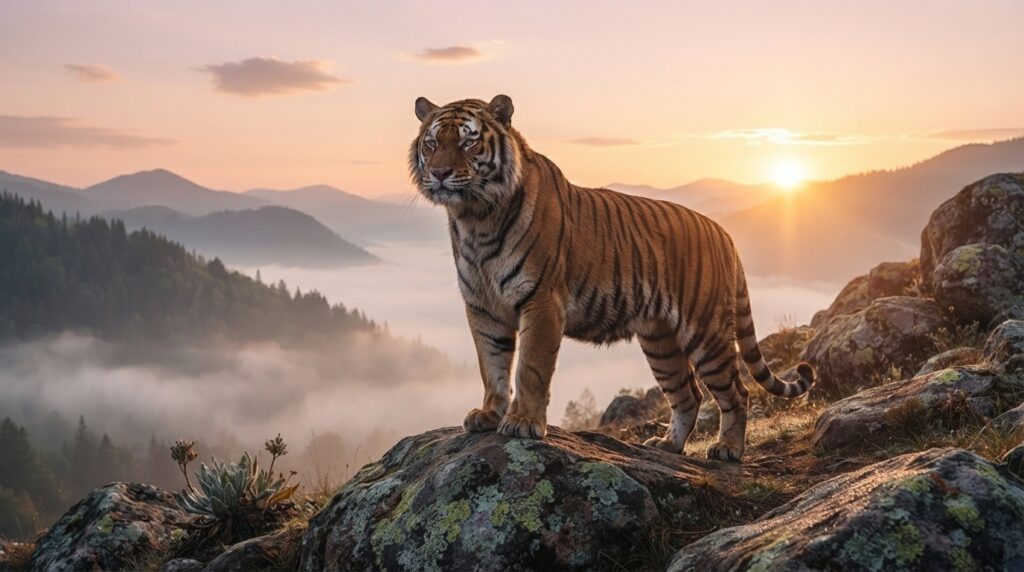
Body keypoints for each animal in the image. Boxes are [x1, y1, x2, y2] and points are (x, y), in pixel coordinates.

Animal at [409, 94, 815, 461]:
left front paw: (523, 422)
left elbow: (530, 369)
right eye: (432, 143)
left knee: (734, 391)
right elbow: (491, 365)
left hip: (706, 331)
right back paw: (668, 445)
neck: (476, 218)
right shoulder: (482, 306)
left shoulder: (541, 301)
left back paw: (728, 449)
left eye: (469, 141)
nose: (440, 173)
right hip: (660, 340)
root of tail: (723, 233)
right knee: (688, 394)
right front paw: (489, 415)